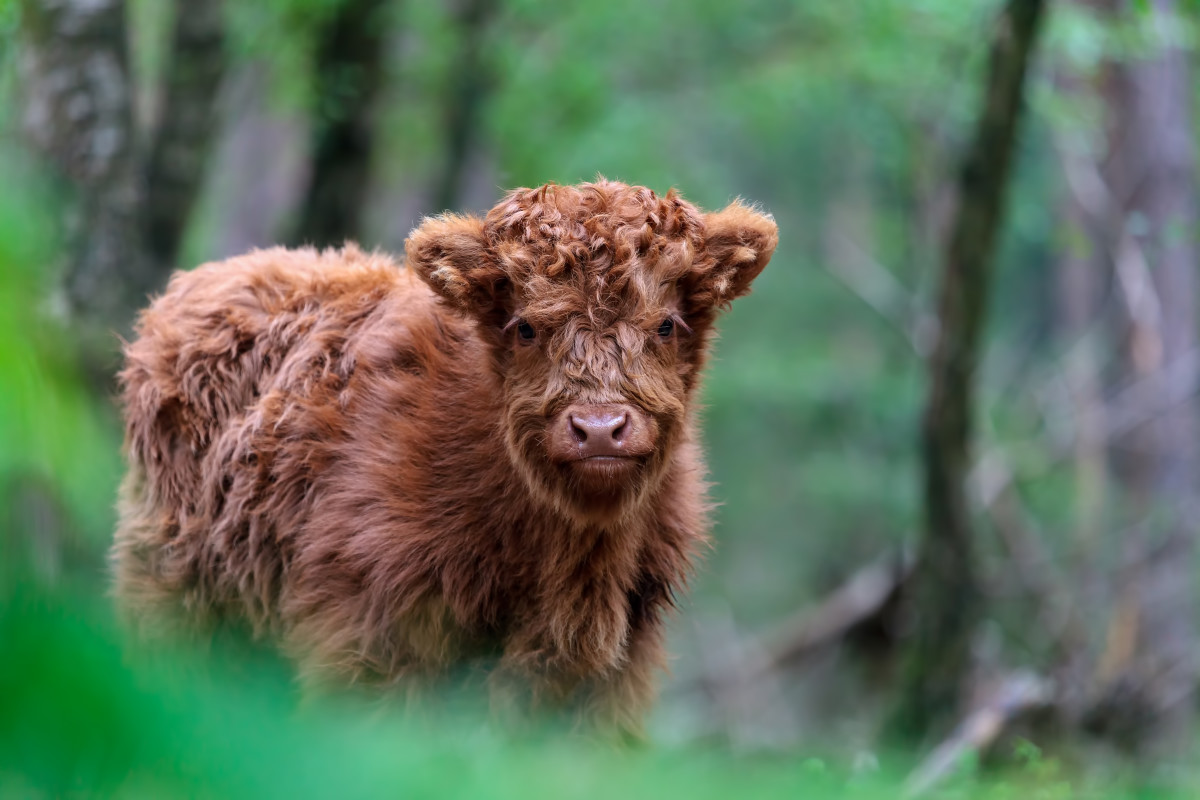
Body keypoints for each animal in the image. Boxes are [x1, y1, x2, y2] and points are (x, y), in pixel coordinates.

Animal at [114, 178, 777, 734]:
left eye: (665, 325)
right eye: (525, 327)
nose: (598, 429)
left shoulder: (612, 673)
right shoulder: (366, 633)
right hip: (176, 593)